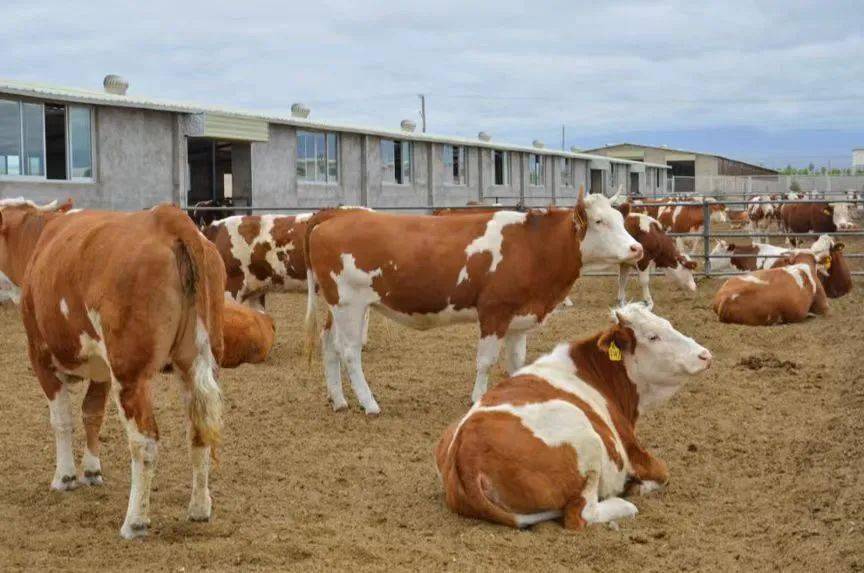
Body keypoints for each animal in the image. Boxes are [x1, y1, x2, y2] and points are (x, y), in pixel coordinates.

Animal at [0, 199, 226, 540]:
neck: (37, 240)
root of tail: (169, 218)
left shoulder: (40, 357)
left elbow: (62, 421)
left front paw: (65, 477)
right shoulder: (102, 371)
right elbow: (92, 413)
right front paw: (91, 470)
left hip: (130, 373)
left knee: (145, 441)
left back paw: (135, 521)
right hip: (194, 362)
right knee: (198, 430)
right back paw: (199, 509)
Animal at [304, 185, 640, 414]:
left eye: (620, 219)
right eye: (599, 222)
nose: (636, 248)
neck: (533, 246)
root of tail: (337, 214)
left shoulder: (520, 317)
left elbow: (516, 361)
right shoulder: (494, 311)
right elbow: (486, 361)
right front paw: (478, 398)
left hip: (339, 305)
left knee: (329, 345)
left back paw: (339, 400)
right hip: (350, 303)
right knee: (349, 351)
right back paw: (369, 402)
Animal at [432, 302, 708, 528]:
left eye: (668, 323)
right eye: (653, 336)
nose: (704, 354)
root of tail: (465, 448)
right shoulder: (634, 450)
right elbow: (662, 472)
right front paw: (638, 486)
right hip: (588, 442)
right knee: (582, 514)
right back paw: (623, 503)